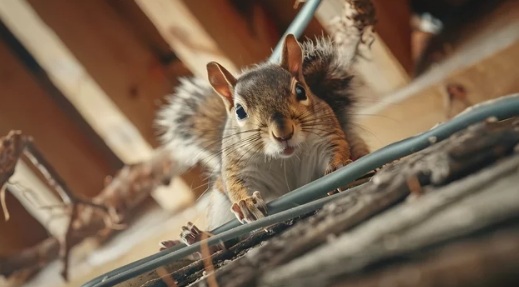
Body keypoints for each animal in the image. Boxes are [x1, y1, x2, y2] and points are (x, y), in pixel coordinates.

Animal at [155, 33, 370, 250]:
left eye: (301, 91)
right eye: (239, 111)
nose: (283, 133)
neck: (285, 158)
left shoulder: (328, 135)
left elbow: (338, 149)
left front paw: (337, 168)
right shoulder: (239, 165)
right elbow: (237, 184)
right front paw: (246, 203)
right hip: (220, 205)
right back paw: (199, 239)